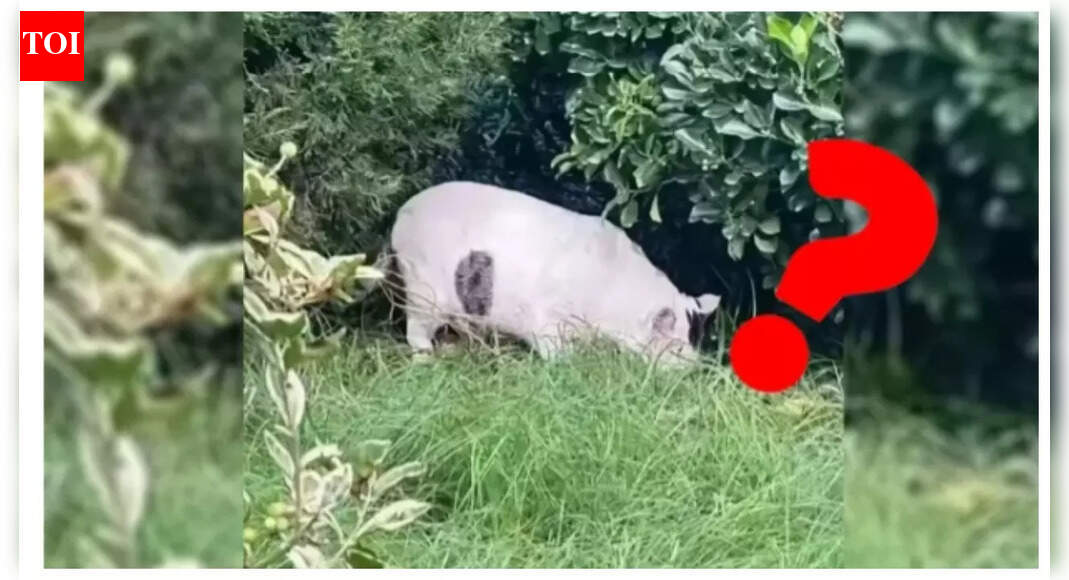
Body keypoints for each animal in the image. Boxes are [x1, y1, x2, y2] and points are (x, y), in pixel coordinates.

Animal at [387, 181, 721, 365]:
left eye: (695, 339)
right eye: (677, 347)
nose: (692, 367)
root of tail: (400, 215)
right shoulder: (548, 318)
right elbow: (554, 350)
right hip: (422, 285)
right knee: (416, 330)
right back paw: (427, 360)